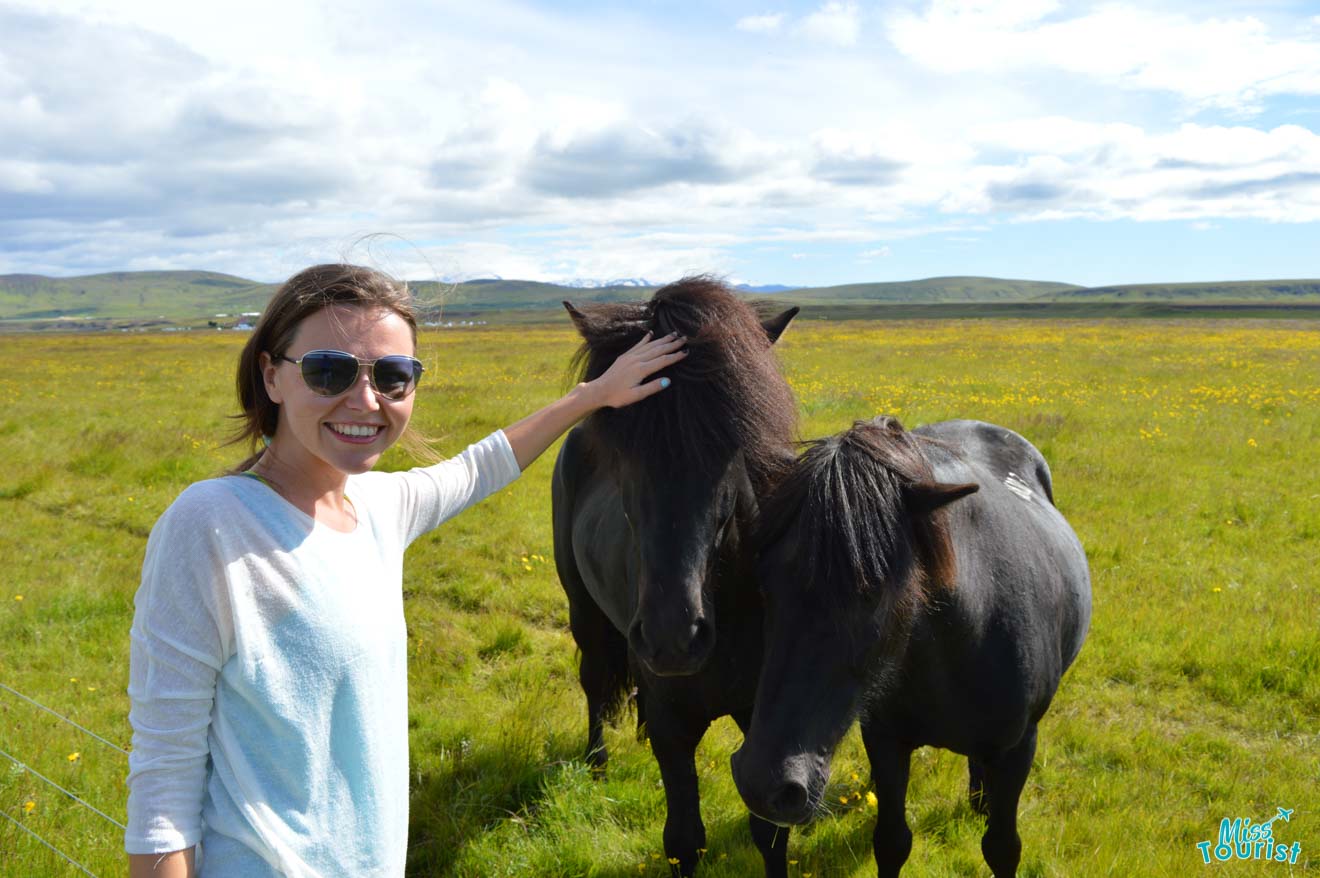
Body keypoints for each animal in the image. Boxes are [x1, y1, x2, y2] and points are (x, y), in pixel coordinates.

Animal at [551, 277, 797, 871]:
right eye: (620, 451)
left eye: (733, 443)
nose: (672, 639)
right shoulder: (672, 725)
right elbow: (684, 839)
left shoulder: (760, 719)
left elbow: (769, 834)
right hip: (584, 614)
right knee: (594, 679)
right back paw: (596, 761)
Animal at [733, 417, 1092, 876]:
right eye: (763, 582)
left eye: (873, 593)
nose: (761, 785)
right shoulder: (886, 740)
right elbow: (891, 842)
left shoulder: (1018, 749)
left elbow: (1002, 847)